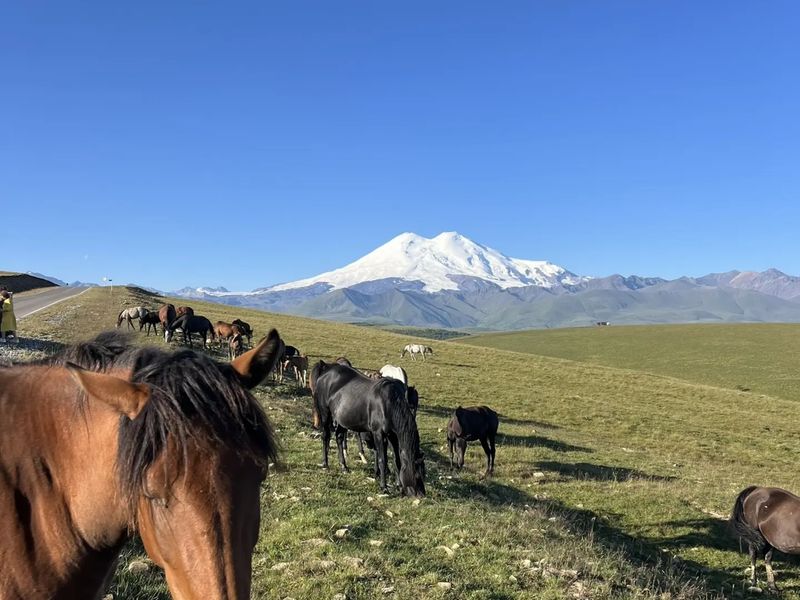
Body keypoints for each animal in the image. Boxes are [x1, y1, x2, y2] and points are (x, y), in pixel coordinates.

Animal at [311, 361, 425, 496]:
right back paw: (325, 464)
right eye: (416, 475)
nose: (422, 494)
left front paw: (399, 486)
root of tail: (326, 369)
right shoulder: (378, 434)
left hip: (342, 420)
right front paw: (384, 487)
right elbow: (382, 459)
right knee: (326, 436)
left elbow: (396, 459)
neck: (389, 403)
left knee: (339, 438)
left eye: (424, 474)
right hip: (325, 413)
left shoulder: (392, 435)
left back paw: (344, 466)